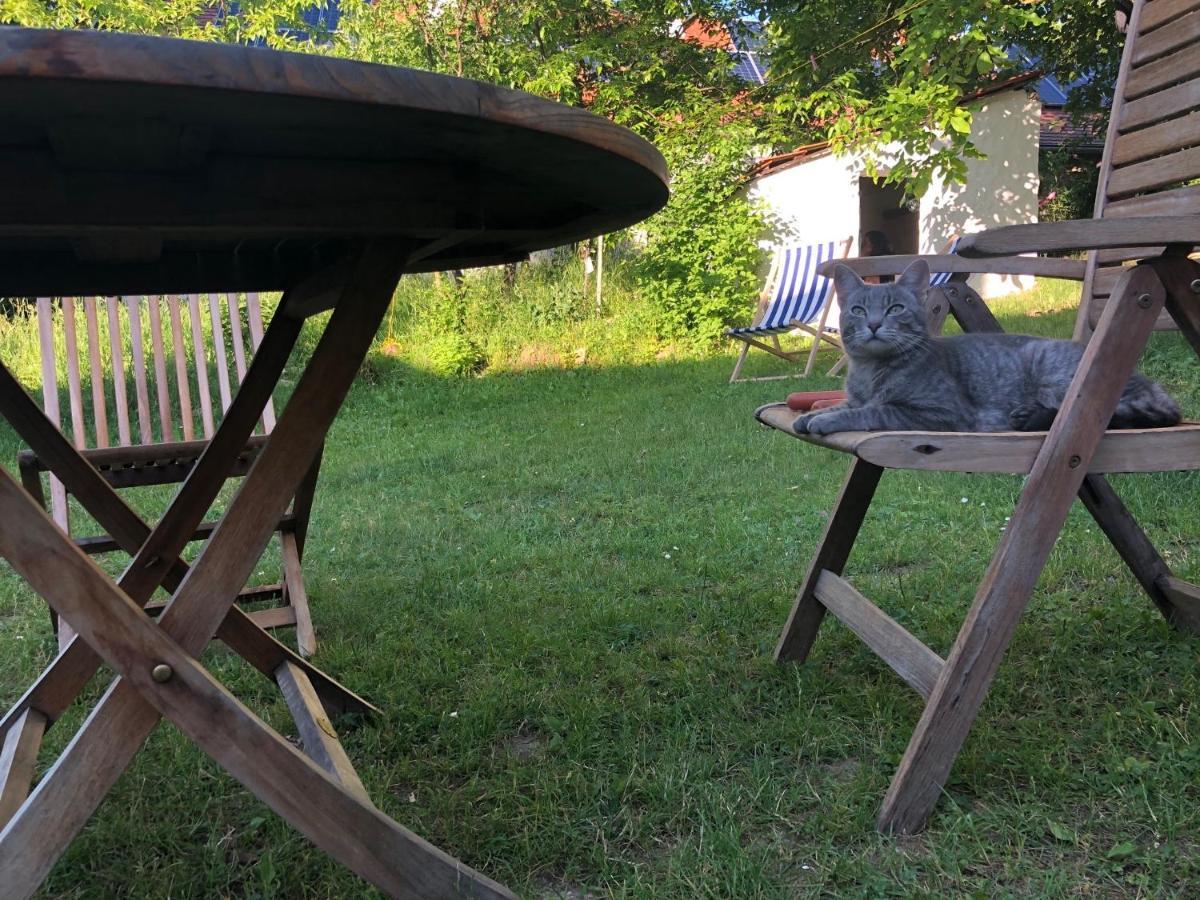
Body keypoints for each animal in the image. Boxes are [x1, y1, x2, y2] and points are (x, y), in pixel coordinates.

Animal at [792, 259, 1176, 439]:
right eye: (858, 310)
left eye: (895, 309)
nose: (872, 324)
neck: (870, 372)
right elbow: (843, 404)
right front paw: (813, 414)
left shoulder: (937, 413)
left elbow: (871, 411)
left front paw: (827, 419)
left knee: (1095, 417)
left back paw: (1031, 416)